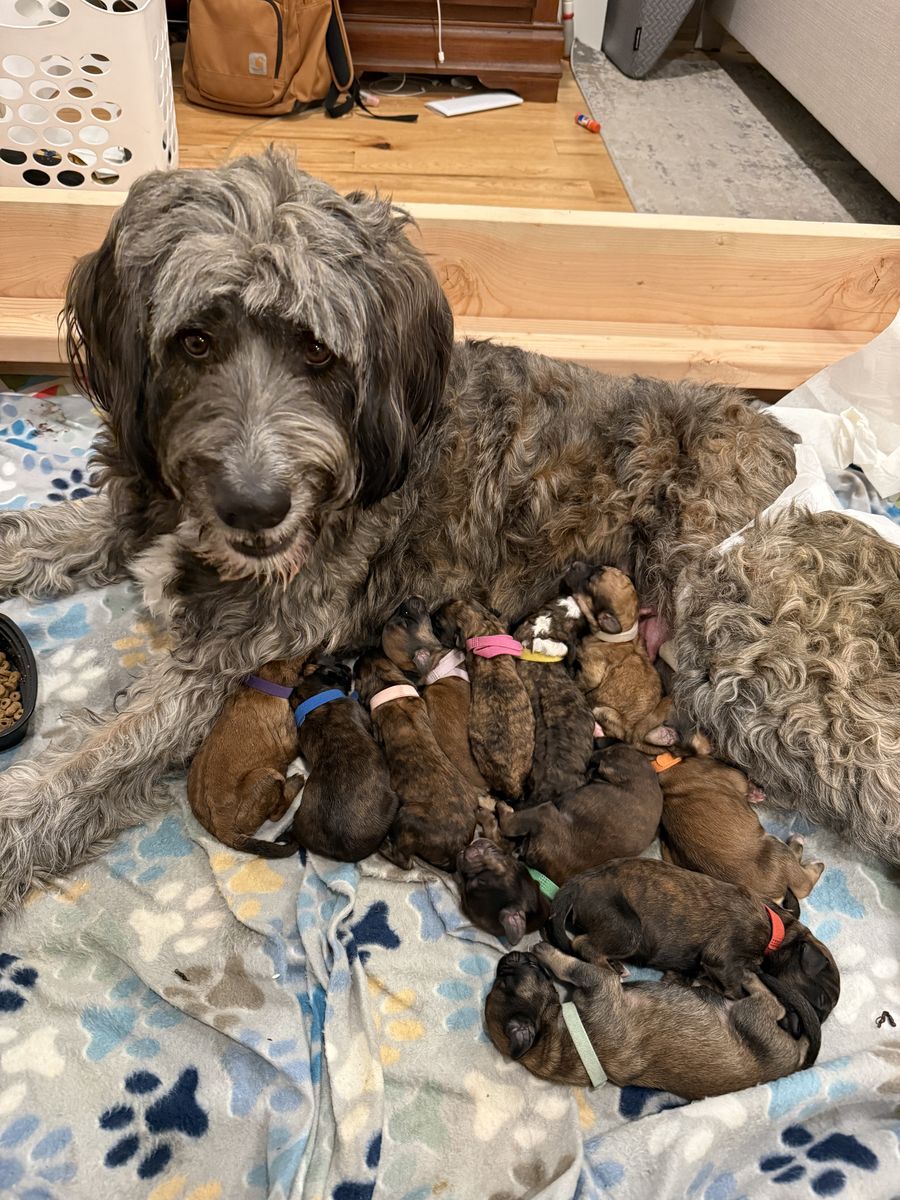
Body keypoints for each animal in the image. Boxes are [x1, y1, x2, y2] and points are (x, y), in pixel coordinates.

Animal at [186, 656, 304, 856]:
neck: (261, 686)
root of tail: (223, 830)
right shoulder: (291, 743)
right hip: (267, 775)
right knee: (277, 812)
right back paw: (295, 782)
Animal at [355, 649, 478, 870]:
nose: (365, 651)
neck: (386, 682)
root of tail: (457, 847)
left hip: (408, 815)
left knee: (405, 861)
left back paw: (384, 847)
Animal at [485, 943, 820, 1099]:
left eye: (501, 983)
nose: (504, 960)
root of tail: (796, 1061)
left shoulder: (597, 981)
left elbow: (575, 964)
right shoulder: (599, 981)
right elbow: (570, 965)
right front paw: (545, 949)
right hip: (749, 1017)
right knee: (771, 1002)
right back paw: (750, 977)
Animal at [549, 858, 840, 1021]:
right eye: (821, 1001)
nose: (816, 1023)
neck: (777, 927)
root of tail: (578, 882)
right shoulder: (722, 956)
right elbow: (734, 987)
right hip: (627, 929)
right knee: (582, 944)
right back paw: (612, 971)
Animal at [566, 564, 675, 753]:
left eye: (589, 581)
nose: (573, 565)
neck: (619, 635)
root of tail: (633, 736)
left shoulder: (591, 673)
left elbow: (581, 682)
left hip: (604, 711)